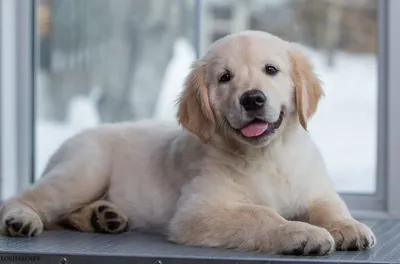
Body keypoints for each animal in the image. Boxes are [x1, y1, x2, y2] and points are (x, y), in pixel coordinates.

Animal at [0, 31, 376, 256]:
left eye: (271, 70)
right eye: (225, 78)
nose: (252, 99)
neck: (268, 155)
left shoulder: (316, 190)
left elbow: (331, 207)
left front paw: (349, 227)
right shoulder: (198, 210)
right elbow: (261, 214)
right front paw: (302, 233)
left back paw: (103, 217)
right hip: (83, 171)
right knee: (26, 199)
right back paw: (21, 219)